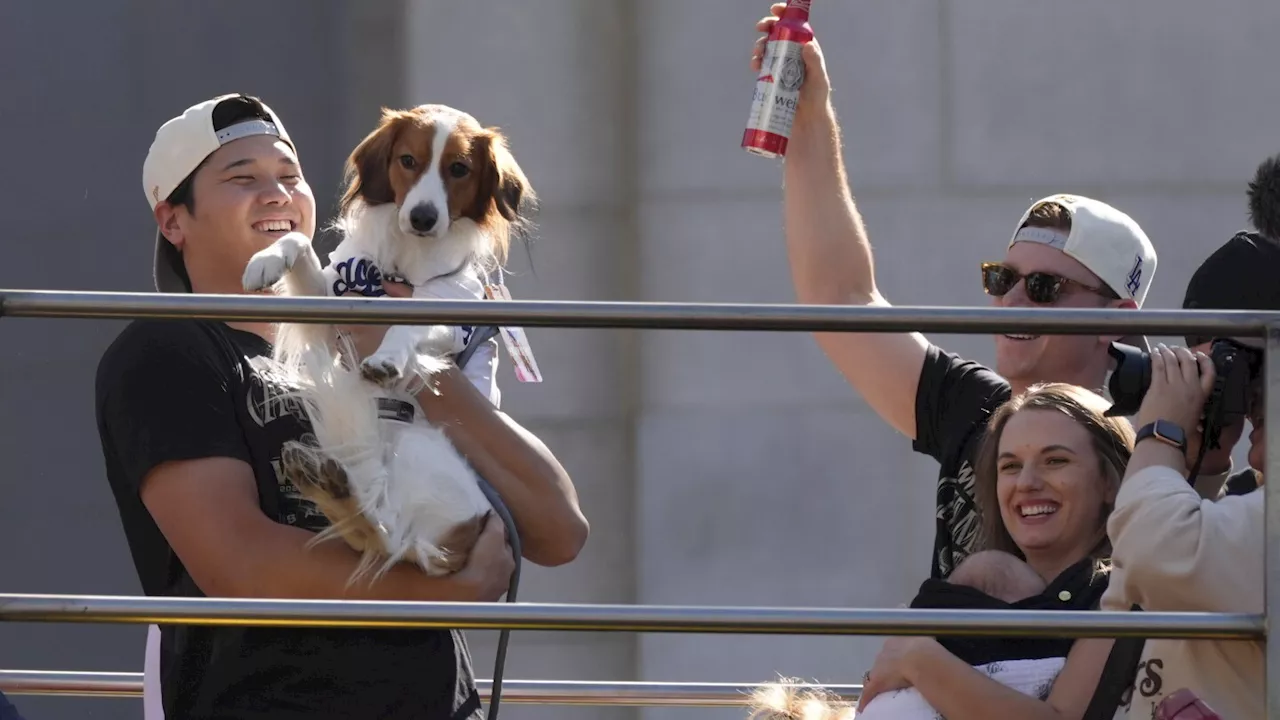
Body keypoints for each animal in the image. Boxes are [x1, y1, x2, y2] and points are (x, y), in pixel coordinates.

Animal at [240, 103, 535, 579]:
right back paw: (326, 483)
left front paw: (388, 360)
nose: (422, 218)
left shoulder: (449, 310)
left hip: (419, 452)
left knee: (388, 536)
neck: (407, 261)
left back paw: (334, 489)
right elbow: (297, 239)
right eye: (408, 160)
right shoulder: (329, 311)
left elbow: (406, 326)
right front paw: (265, 259)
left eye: (459, 169)